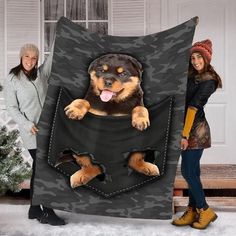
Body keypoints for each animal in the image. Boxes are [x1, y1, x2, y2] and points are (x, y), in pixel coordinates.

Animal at [63, 53, 159, 188]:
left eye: (122, 74)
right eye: (102, 71)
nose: (107, 82)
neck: (112, 103)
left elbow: (140, 107)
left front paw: (141, 120)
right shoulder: (94, 107)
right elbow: (84, 101)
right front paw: (74, 109)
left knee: (134, 159)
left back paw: (147, 167)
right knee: (93, 165)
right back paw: (80, 176)